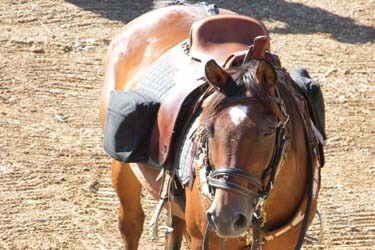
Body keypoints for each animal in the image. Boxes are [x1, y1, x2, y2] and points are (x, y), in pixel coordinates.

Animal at [100, 3, 326, 250]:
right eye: (207, 129)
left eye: (268, 131)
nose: (226, 218)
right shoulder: (204, 239)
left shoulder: (286, 241)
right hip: (122, 168)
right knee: (131, 223)